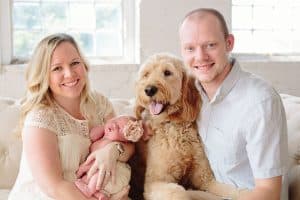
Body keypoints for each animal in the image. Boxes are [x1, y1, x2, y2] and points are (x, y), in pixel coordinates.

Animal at [130, 53, 247, 200]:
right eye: (146, 74)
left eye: (167, 72)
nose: (149, 90)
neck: (174, 125)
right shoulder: (156, 181)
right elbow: (179, 192)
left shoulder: (204, 178)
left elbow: (231, 190)